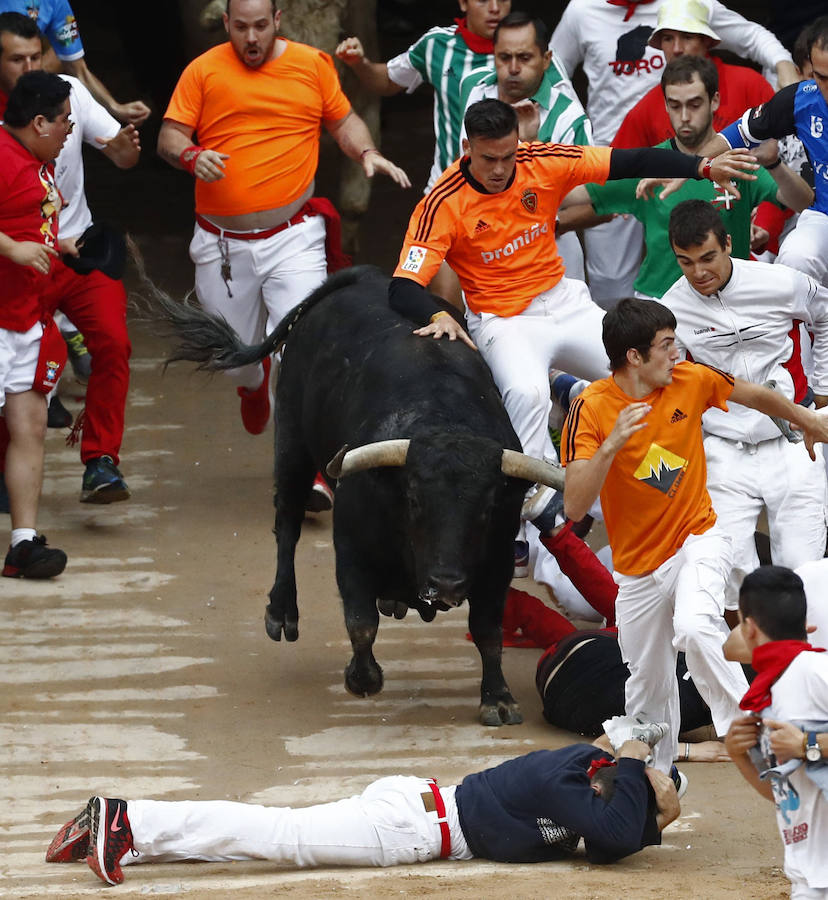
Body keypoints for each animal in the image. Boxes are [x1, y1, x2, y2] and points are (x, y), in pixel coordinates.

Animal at [161, 262, 564, 724]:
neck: (445, 418)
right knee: (287, 526)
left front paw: (497, 697)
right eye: (413, 500)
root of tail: (361, 275)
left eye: (487, 508)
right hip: (292, 441)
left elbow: (487, 630)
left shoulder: (495, 562)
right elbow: (360, 620)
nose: (445, 582)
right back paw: (281, 612)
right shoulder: (351, 548)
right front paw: (362, 678)